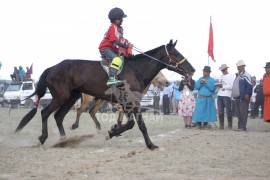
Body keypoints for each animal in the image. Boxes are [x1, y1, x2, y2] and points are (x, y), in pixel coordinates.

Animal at [14, 40, 195, 150]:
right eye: (176, 54)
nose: (192, 70)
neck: (136, 70)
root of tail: (52, 67)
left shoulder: (132, 104)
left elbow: (138, 125)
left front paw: (149, 144)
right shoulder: (128, 103)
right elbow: (133, 124)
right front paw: (112, 132)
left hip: (71, 97)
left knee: (59, 116)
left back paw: (64, 140)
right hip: (61, 97)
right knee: (46, 113)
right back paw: (44, 138)